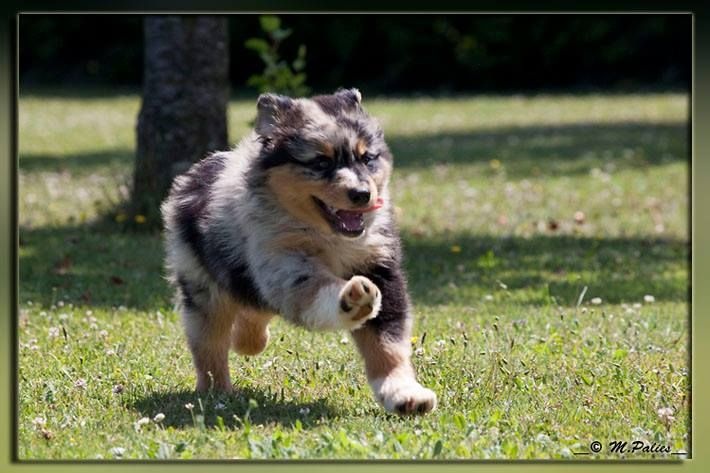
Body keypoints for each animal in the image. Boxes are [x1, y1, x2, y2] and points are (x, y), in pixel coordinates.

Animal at [161, 88, 437, 415]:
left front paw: (405, 394)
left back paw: (246, 340)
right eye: (321, 162)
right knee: (209, 342)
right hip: (202, 285)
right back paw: (216, 391)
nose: (362, 194)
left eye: (367, 158)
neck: (328, 236)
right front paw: (352, 298)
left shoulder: (379, 266)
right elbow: (317, 290)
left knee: (254, 311)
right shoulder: (285, 263)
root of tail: (194, 172)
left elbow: (388, 343)